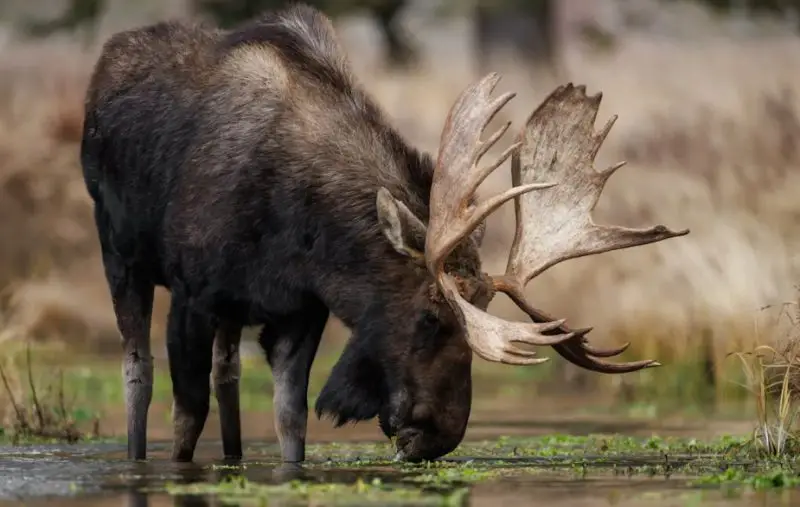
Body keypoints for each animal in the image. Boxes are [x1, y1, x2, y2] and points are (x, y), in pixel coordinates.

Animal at [80, 3, 689, 464]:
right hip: (119, 255)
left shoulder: (298, 309)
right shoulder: (193, 295)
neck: (296, 228)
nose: (440, 435)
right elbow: (185, 419)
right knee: (138, 372)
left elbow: (289, 421)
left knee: (226, 373)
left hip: (228, 311)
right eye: (430, 317)